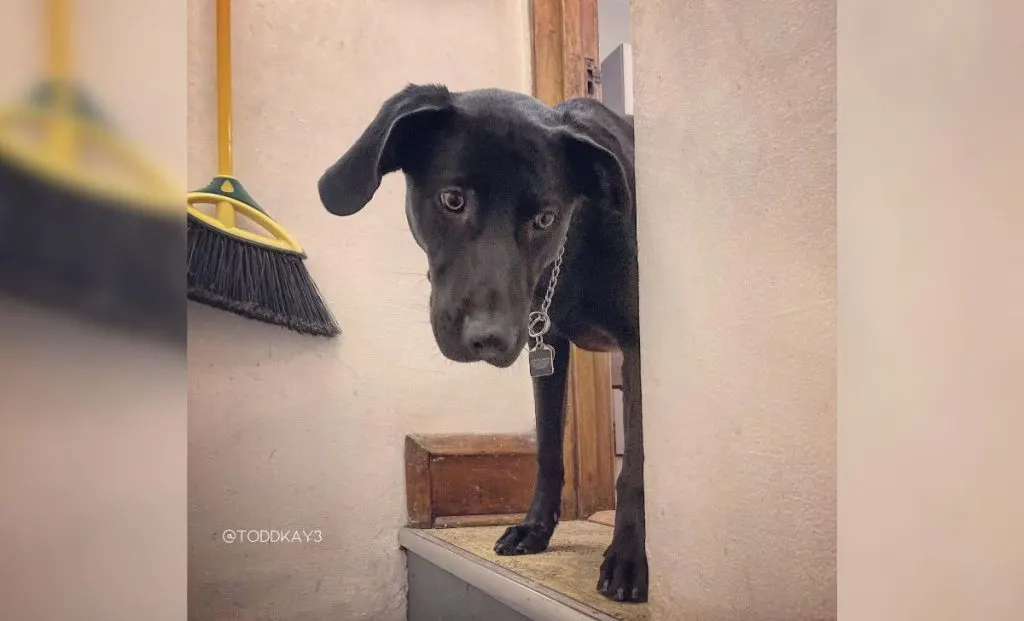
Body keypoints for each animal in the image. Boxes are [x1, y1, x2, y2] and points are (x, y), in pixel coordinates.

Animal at [319, 84, 643, 602]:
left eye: (545, 218)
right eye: (452, 199)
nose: (489, 339)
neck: (575, 243)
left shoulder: (636, 347)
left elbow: (634, 467)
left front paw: (629, 560)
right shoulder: (545, 345)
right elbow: (548, 448)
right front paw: (535, 530)